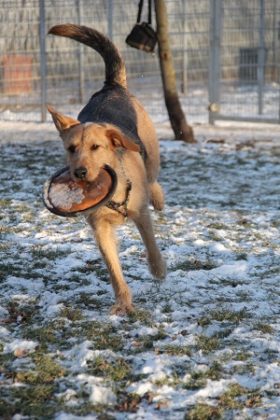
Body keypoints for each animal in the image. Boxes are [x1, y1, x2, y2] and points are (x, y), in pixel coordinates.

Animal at [47, 22, 166, 312]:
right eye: (71, 149)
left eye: (95, 147)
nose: (79, 173)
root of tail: (111, 86)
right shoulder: (100, 228)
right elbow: (113, 269)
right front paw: (122, 303)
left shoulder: (140, 214)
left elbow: (150, 244)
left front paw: (158, 269)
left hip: (151, 154)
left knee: (153, 178)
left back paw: (158, 197)